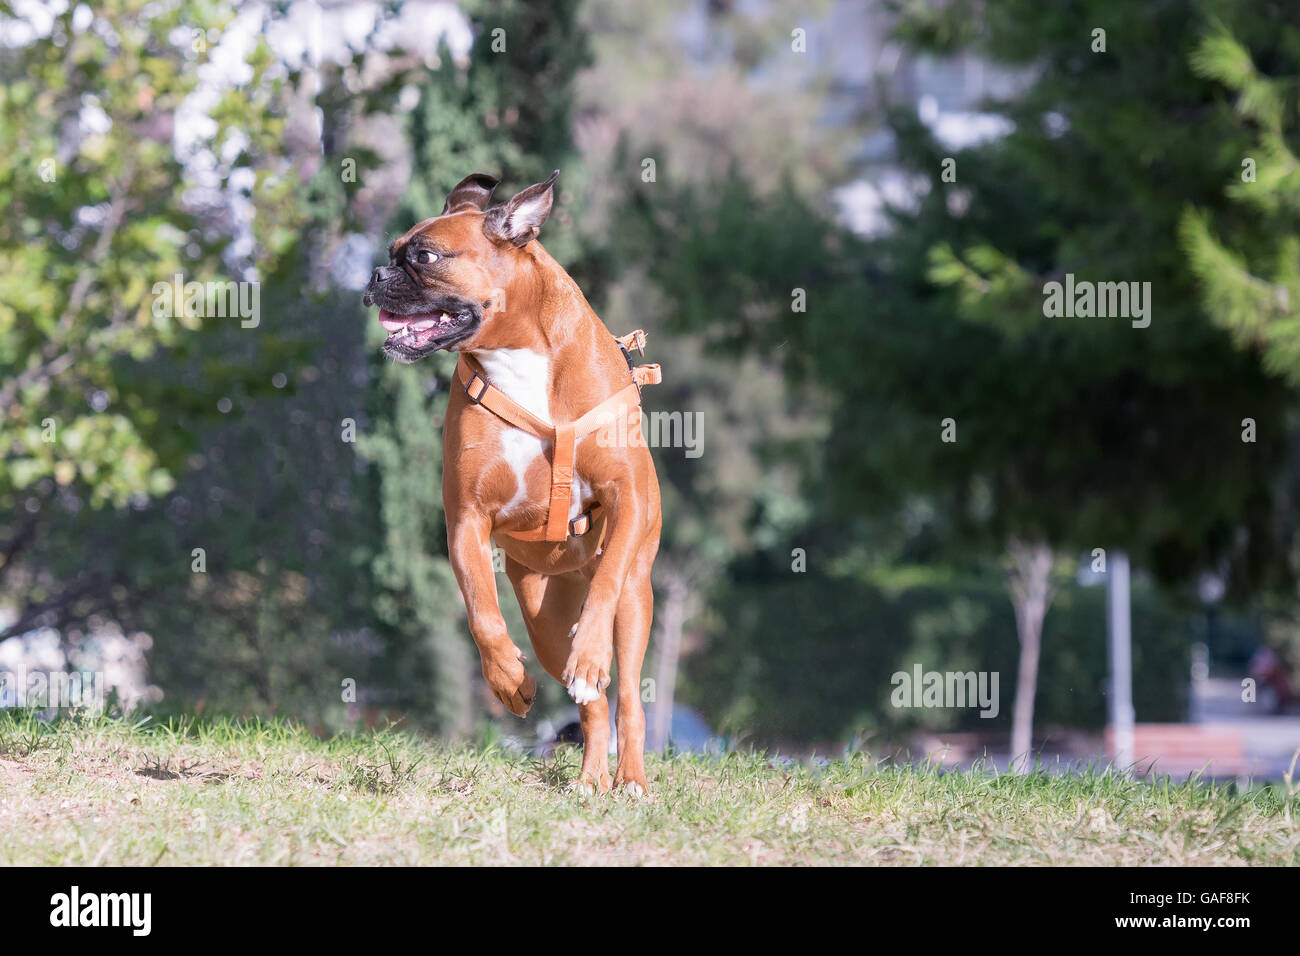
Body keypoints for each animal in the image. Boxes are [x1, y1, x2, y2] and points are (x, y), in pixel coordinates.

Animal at [366, 170, 665, 790]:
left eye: (424, 256)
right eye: (392, 254)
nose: (375, 276)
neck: (518, 356)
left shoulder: (624, 503)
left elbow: (603, 595)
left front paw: (590, 652)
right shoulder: (467, 522)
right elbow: (481, 610)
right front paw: (507, 679)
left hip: (637, 595)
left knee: (626, 689)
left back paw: (629, 777)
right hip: (545, 618)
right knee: (590, 707)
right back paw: (590, 778)